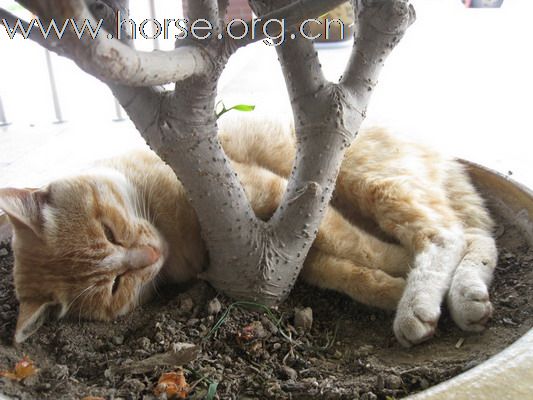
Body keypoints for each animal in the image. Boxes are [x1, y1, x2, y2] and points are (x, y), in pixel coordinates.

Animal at [0, 115, 496, 346]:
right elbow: (355, 273)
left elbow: (361, 246)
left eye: (109, 231)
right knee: (476, 237)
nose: (148, 257)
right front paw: (392, 289)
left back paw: (422, 299)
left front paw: (403, 280)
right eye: (114, 286)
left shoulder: (282, 201)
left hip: (371, 180)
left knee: (445, 233)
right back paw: (465, 298)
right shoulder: (293, 254)